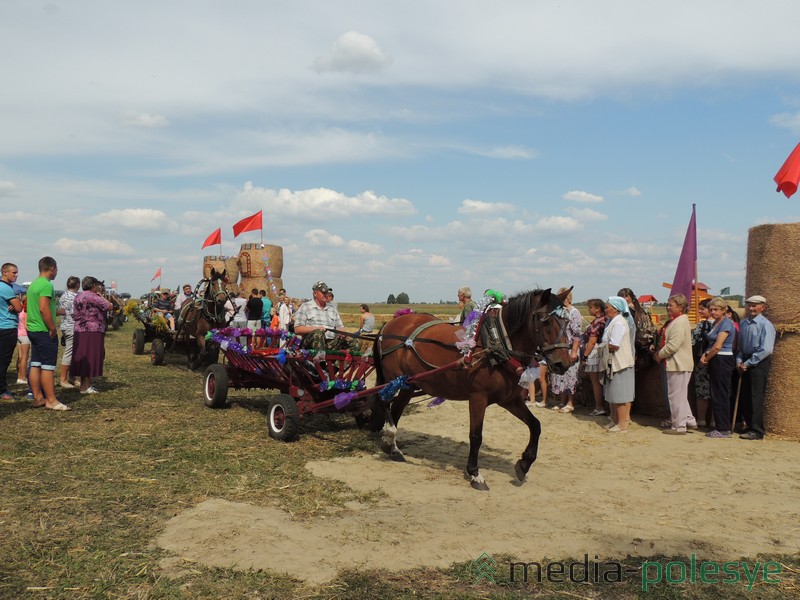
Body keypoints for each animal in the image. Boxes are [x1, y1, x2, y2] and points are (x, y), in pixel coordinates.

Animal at [372, 288, 572, 490]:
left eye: (567, 322)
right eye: (546, 321)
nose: (563, 364)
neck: (496, 343)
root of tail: (389, 325)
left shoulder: (510, 400)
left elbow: (535, 425)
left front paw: (524, 464)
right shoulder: (478, 398)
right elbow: (476, 436)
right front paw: (475, 473)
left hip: (409, 384)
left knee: (396, 410)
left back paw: (392, 448)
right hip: (394, 380)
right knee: (382, 401)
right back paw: (389, 433)